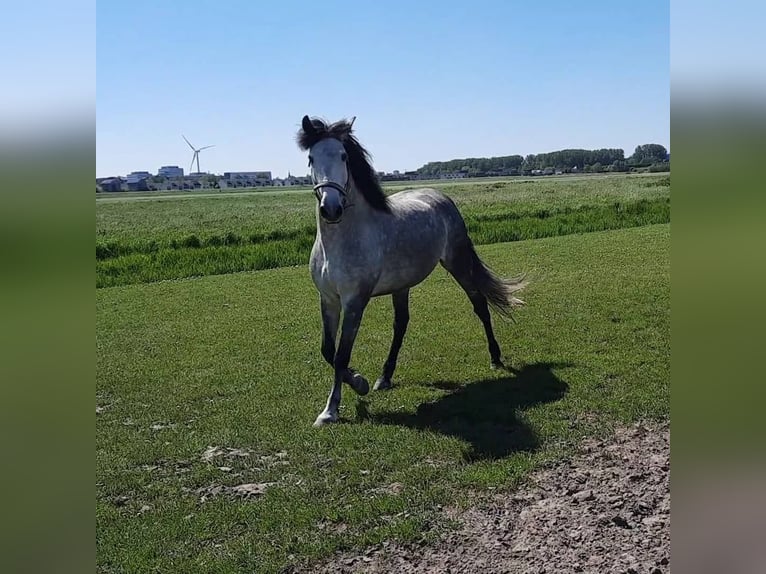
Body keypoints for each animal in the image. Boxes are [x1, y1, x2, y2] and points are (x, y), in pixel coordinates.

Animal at [298, 116, 528, 428]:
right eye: (311, 158)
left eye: (344, 156)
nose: (331, 209)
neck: (341, 241)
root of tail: (440, 196)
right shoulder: (328, 299)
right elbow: (328, 351)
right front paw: (359, 382)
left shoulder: (355, 302)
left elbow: (341, 356)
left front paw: (333, 408)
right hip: (401, 285)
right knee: (401, 324)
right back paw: (384, 377)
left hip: (456, 262)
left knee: (479, 303)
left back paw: (495, 358)